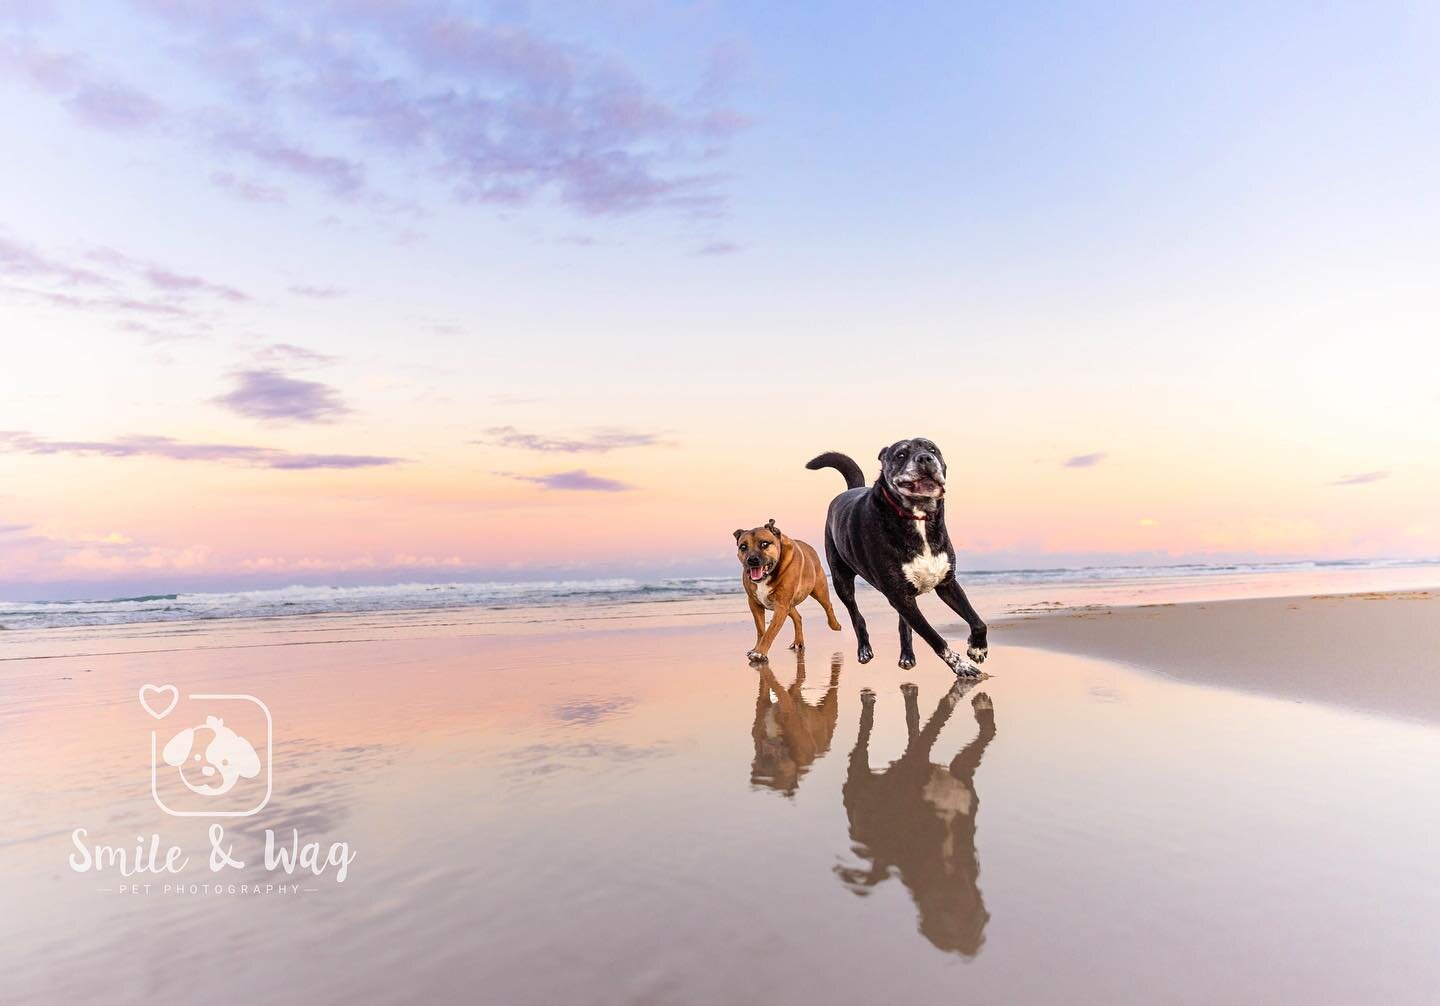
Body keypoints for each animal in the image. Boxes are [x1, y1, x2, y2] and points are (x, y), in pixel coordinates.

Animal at [731, 518, 840, 662]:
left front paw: (759, 653)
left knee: (828, 606)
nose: (752, 560)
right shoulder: (755, 604)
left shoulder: (781, 606)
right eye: (743, 547)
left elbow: (770, 631)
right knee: (797, 617)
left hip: (819, 590)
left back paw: (835, 625)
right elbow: (761, 630)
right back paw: (798, 642)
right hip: (789, 604)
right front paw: (756, 648)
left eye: (764, 544)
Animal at [806, 437, 984, 676]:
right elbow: (934, 638)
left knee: (903, 623)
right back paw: (864, 649)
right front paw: (961, 665)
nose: (925, 458)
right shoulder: (899, 595)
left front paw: (977, 649)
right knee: (855, 614)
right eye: (901, 455)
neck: (918, 517)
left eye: (932, 449)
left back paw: (907, 655)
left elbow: (977, 621)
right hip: (841, 579)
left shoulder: (946, 583)